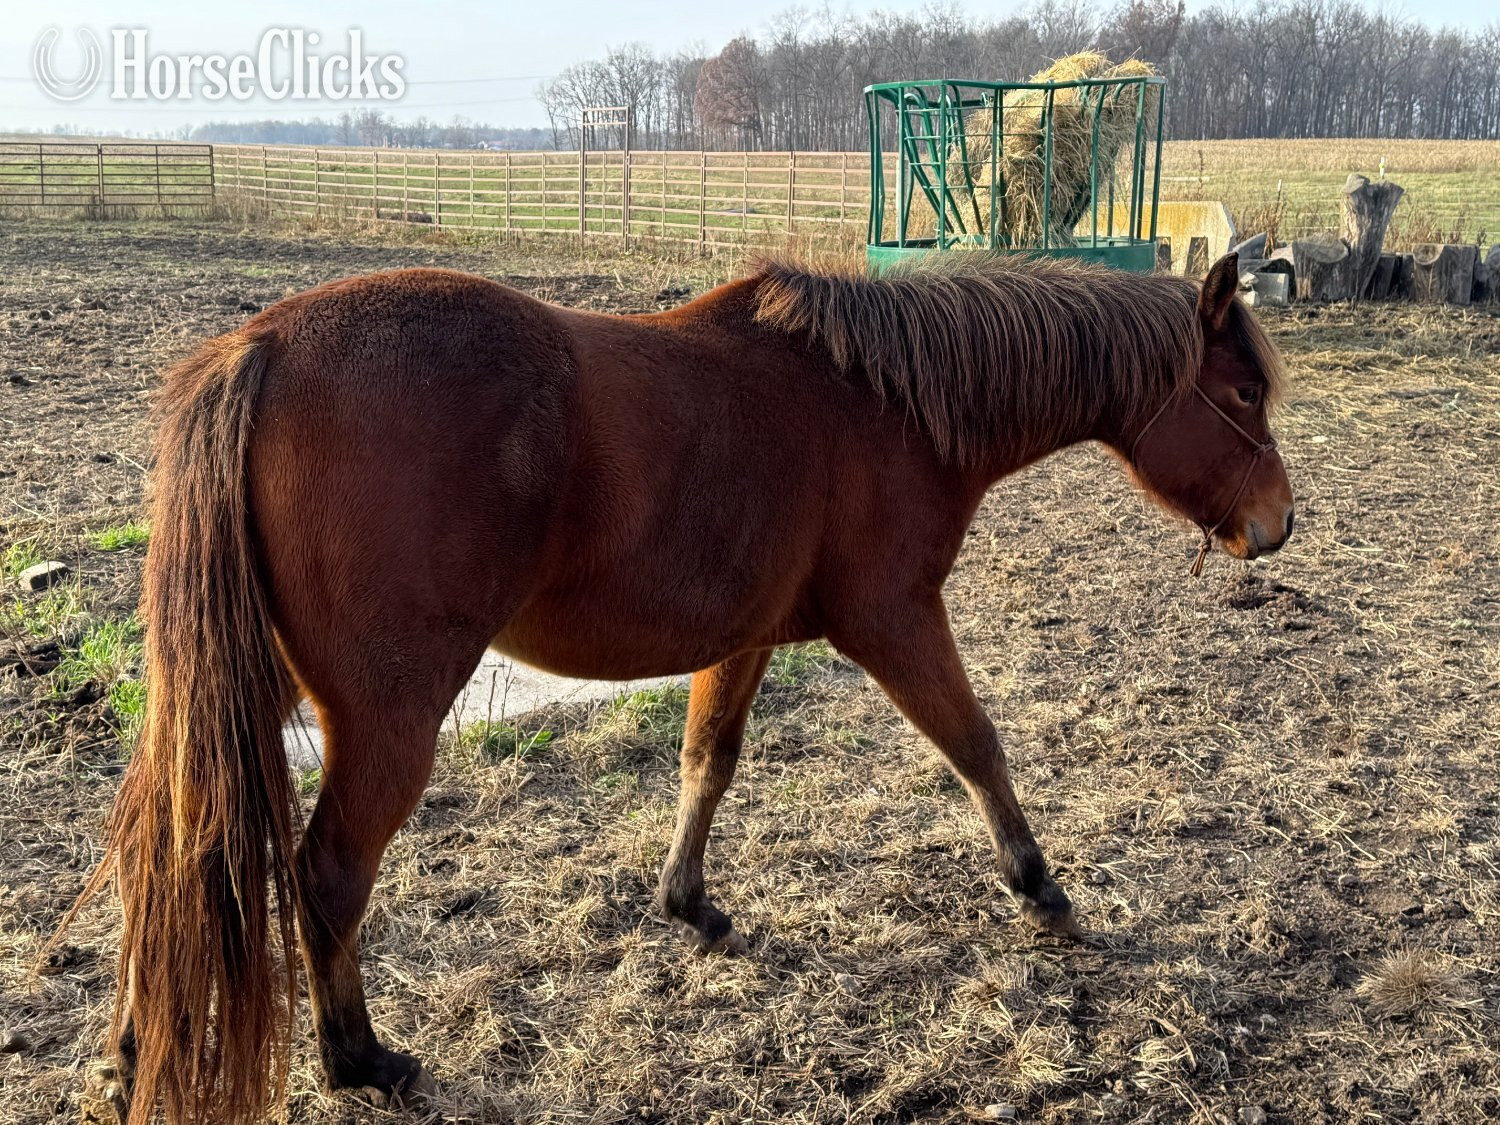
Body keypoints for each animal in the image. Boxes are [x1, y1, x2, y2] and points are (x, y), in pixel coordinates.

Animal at [85, 249, 1292, 1123]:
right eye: (1242, 391)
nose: (1278, 524)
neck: (883, 403)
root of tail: (262, 345)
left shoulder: (745, 637)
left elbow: (707, 762)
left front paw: (690, 904)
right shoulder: (896, 622)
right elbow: (976, 746)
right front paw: (1040, 890)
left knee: (162, 840)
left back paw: (136, 1048)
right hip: (387, 718)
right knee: (328, 873)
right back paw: (359, 1060)